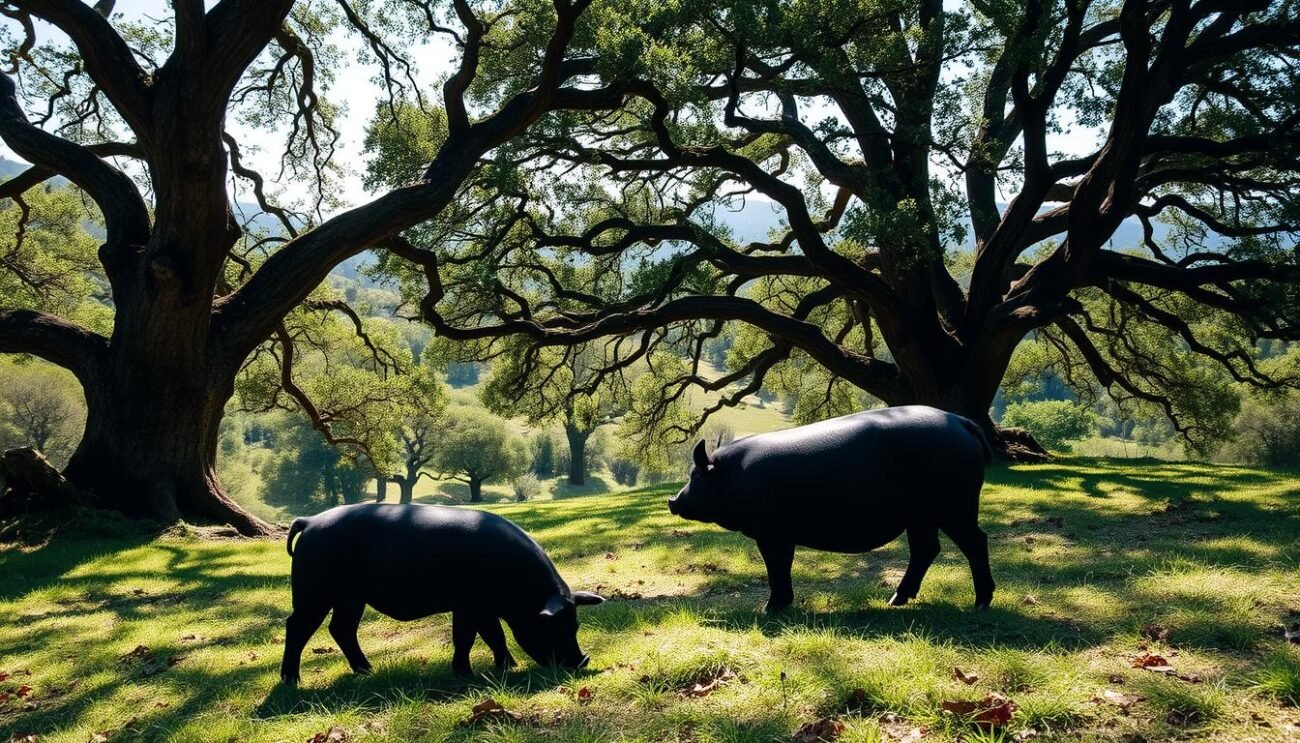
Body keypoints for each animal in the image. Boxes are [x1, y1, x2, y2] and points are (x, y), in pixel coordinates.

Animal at [279, 503, 603, 685]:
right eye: (553, 625)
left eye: (575, 624)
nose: (583, 660)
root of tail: (310, 521)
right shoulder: (470, 605)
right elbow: (470, 637)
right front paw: (467, 674)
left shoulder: (480, 608)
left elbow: (491, 636)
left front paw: (506, 667)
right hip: (313, 593)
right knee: (297, 627)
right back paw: (292, 681)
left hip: (351, 599)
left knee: (341, 629)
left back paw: (368, 671)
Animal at [670, 405, 993, 610]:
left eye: (696, 476)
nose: (672, 501)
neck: (732, 475)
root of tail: (960, 421)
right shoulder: (781, 534)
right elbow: (783, 565)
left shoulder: (770, 533)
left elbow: (776, 566)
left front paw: (769, 608)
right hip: (921, 517)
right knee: (926, 549)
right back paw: (895, 600)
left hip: (954, 507)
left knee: (976, 541)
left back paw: (981, 603)